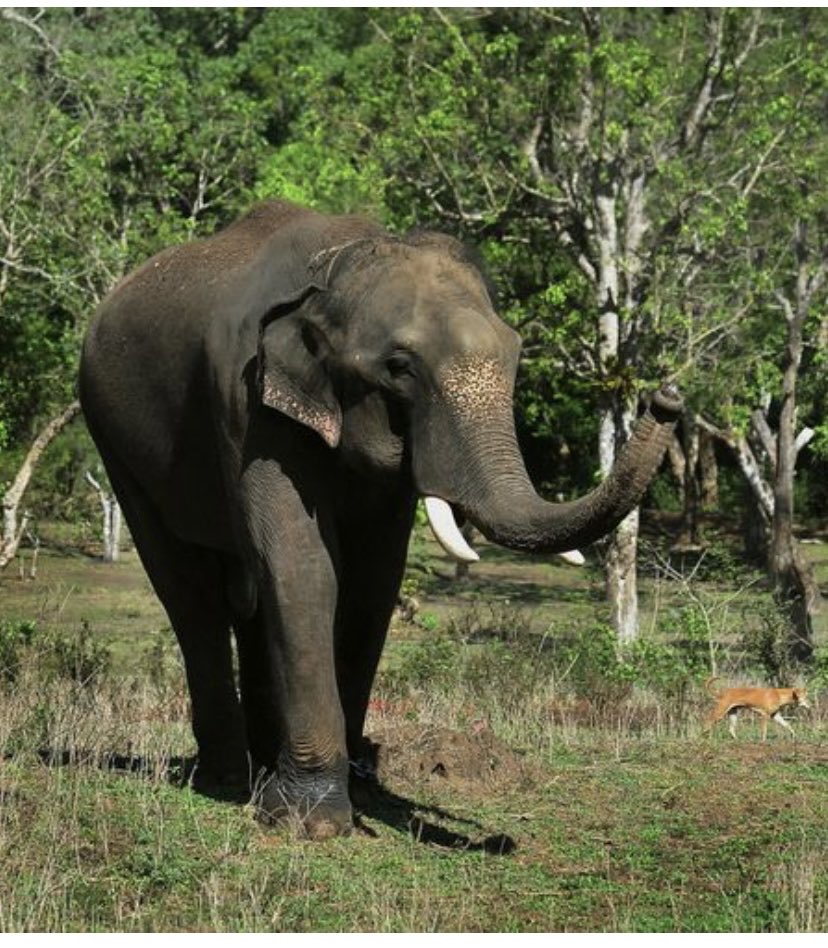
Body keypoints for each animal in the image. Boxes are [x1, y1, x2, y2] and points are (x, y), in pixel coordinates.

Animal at [79, 199, 681, 838]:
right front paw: (311, 822)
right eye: (399, 367)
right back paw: (227, 778)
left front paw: (350, 795)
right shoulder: (246, 401)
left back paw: (261, 770)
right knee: (189, 592)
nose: (666, 397)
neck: (334, 272)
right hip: (115, 441)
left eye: (516, 356)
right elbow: (304, 563)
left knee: (248, 595)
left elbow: (373, 581)